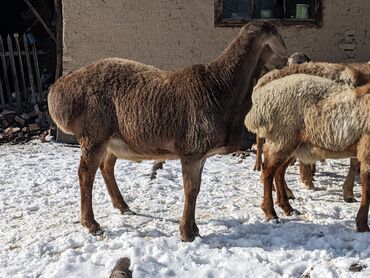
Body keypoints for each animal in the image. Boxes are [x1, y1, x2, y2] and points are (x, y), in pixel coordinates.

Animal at [47, 21, 288, 241]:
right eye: (275, 36)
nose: (289, 59)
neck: (220, 87)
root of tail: (58, 89)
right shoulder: (192, 150)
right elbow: (190, 190)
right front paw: (187, 233)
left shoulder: (201, 154)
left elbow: (196, 189)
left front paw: (195, 230)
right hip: (94, 133)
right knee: (85, 175)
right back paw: (91, 224)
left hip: (114, 139)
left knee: (106, 167)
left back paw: (123, 206)